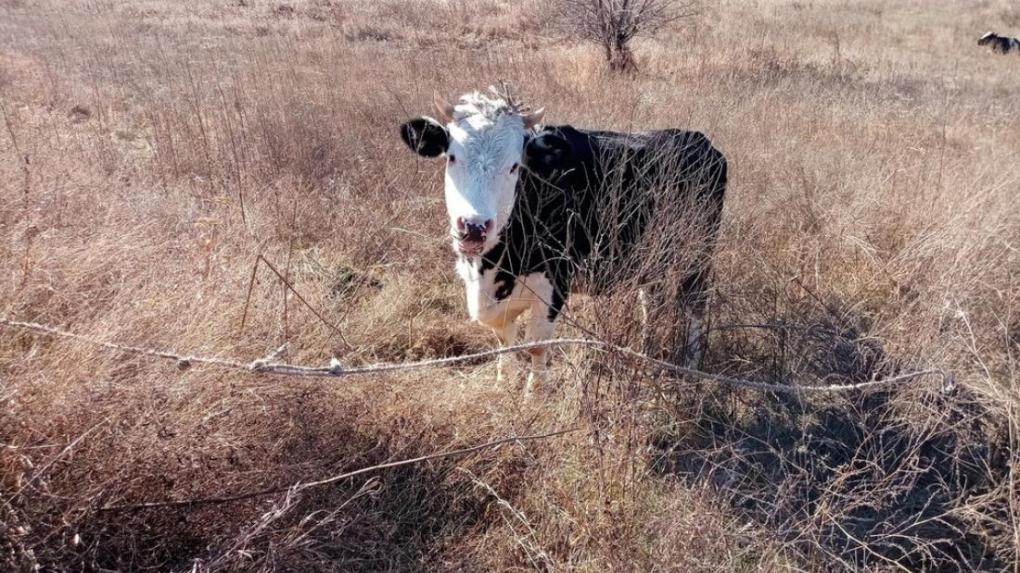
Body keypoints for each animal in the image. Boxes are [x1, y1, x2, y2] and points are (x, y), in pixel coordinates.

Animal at [397, 91, 726, 391]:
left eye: (514, 166)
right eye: (452, 157)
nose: (474, 227)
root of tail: (698, 140)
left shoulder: (556, 279)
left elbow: (536, 344)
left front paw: (535, 395)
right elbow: (504, 338)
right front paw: (504, 383)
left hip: (699, 251)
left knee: (695, 303)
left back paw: (691, 366)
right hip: (650, 258)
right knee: (652, 302)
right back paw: (644, 355)